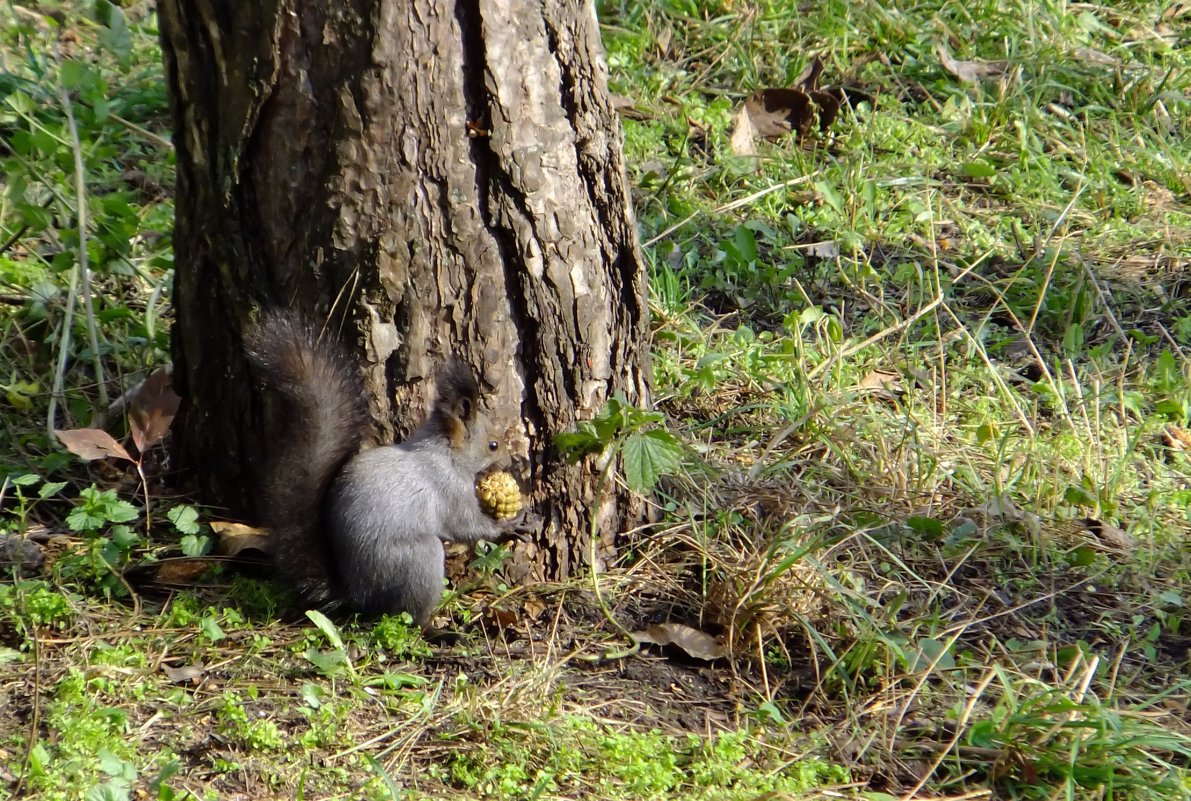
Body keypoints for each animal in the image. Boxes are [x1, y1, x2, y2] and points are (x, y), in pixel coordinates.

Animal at [244, 307, 528, 623]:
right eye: (493, 445)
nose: (510, 462)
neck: (445, 454)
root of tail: (358, 596)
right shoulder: (449, 490)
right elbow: (467, 524)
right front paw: (512, 522)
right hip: (418, 560)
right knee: (409, 616)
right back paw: (434, 626)